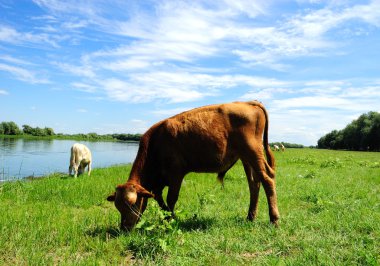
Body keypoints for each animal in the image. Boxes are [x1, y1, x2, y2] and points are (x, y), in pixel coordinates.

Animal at [107, 101, 280, 231]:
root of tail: (248, 102)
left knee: (267, 179)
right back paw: (250, 217)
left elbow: (171, 199)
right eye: (117, 206)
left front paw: (171, 221)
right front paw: (167, 218)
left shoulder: (176, 173)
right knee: (254, 183)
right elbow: (160, 200)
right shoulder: (158, 184)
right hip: (245, 158)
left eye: (132, 203)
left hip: (253, 151)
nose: (124, 228)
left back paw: (274, 220)